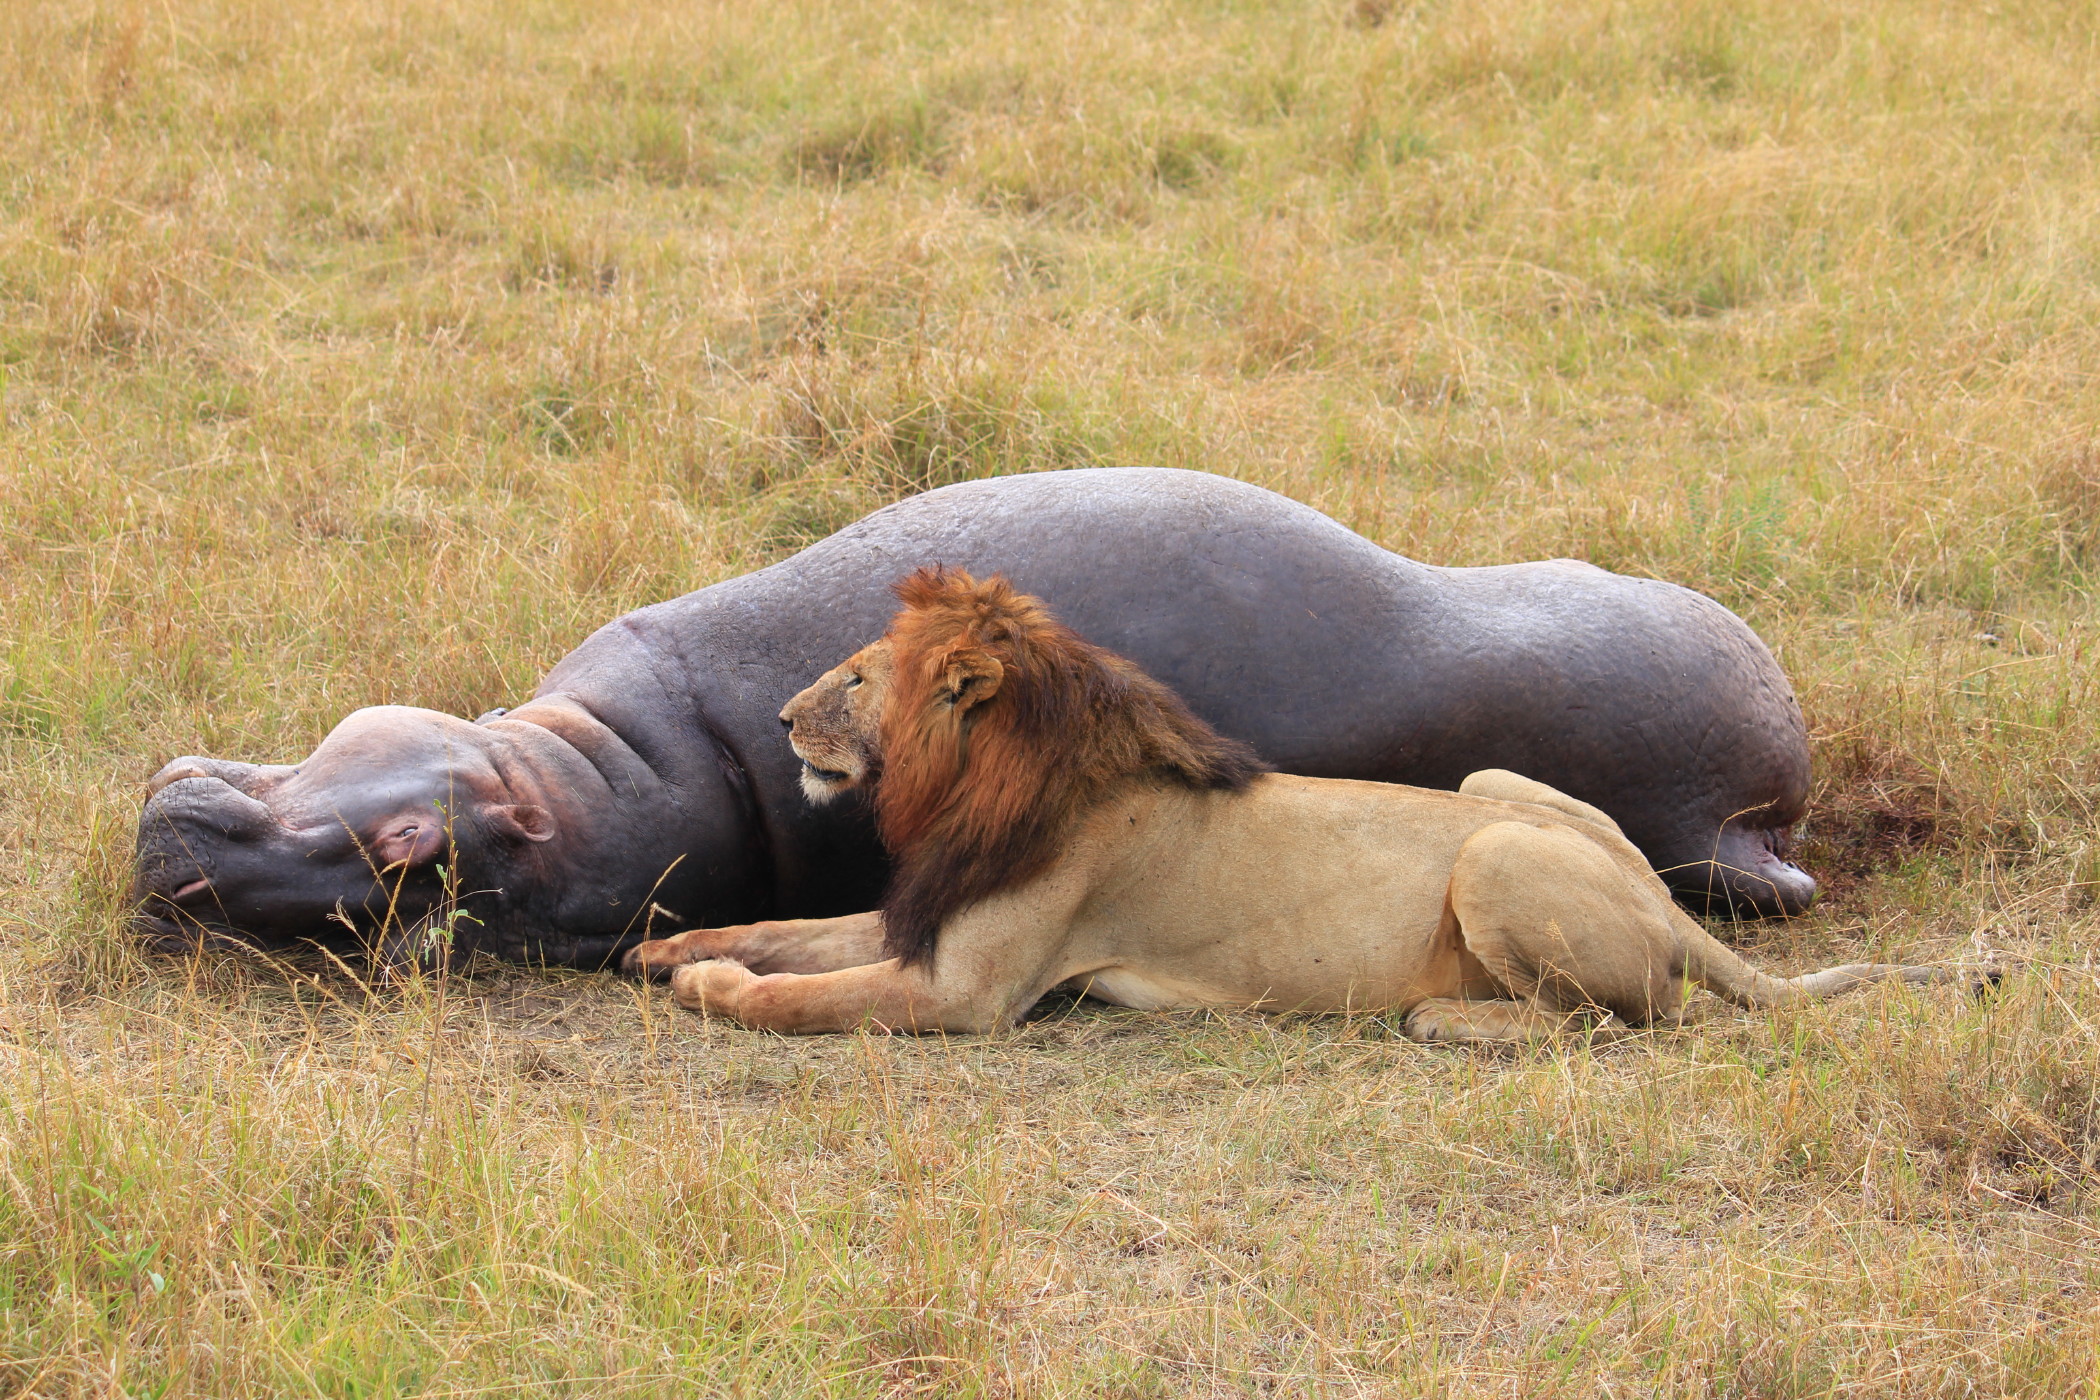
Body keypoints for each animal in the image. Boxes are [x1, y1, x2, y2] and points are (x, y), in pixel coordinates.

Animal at [623, 569, 1948, 1040]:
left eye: (854, 677)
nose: (779, 719)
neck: (981, 785)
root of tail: (1663, 903)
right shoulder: (923, 921)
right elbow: (786, 933)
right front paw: (670, 943)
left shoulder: (969, 991)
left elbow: (802, 993)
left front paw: (707, 986)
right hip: (1498, 788)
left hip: (1496, 853)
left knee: (1629, 1019)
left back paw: (1447, 1020)